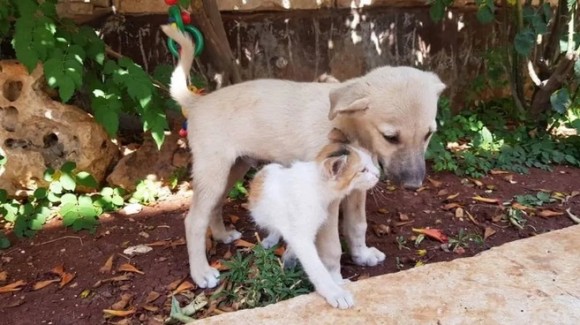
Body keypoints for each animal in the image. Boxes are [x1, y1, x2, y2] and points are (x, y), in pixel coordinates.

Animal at [161, 26, 446, 288]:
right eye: (390, 137)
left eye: (428, 134)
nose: (413, 185)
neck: (346, 126)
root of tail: (198, 103)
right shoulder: (329, 201)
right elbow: (332, 247)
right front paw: (335, 279)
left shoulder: (357, 190)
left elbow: (357, 225)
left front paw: (362, 256)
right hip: (214, 170)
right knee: (194, 220)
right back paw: (201, 272)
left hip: (234, 168)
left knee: (214, 206)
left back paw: (222, 235)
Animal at [246, 142, 378, 308]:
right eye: (363, 170)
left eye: (371, 162)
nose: (378, 174)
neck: (317, 186)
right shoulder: (301, 237)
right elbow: (316, 267)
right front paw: (335, 292)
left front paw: (338, 282)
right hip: (262, 213)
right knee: (274, 226)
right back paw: (272, 240)